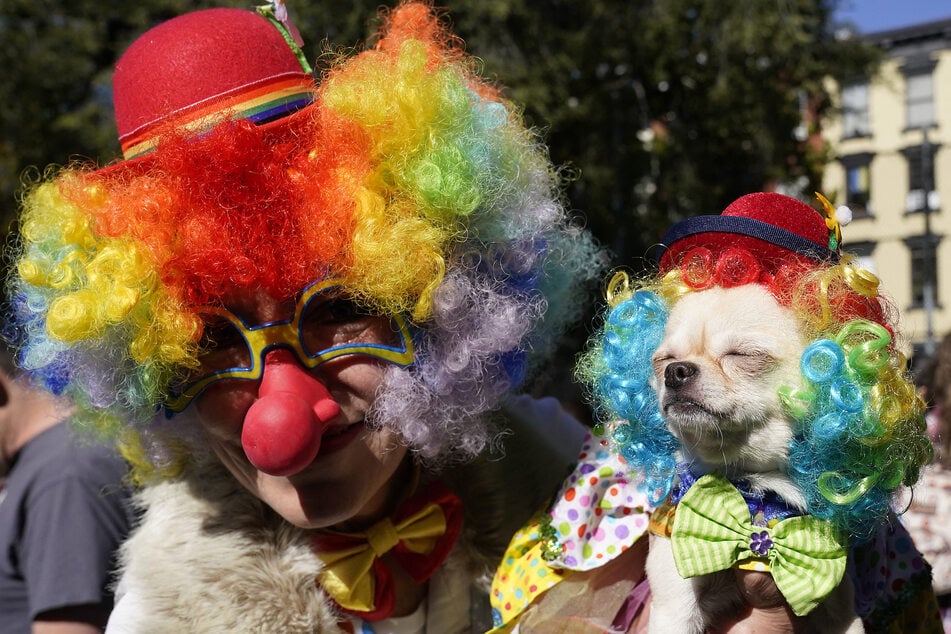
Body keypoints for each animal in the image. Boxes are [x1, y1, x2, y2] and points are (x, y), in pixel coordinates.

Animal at [644, 282, 868, 632]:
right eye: (664, 360)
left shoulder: (839, 609)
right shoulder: (674, 608)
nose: (675, 372)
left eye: (742, 354)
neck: (754, 488)